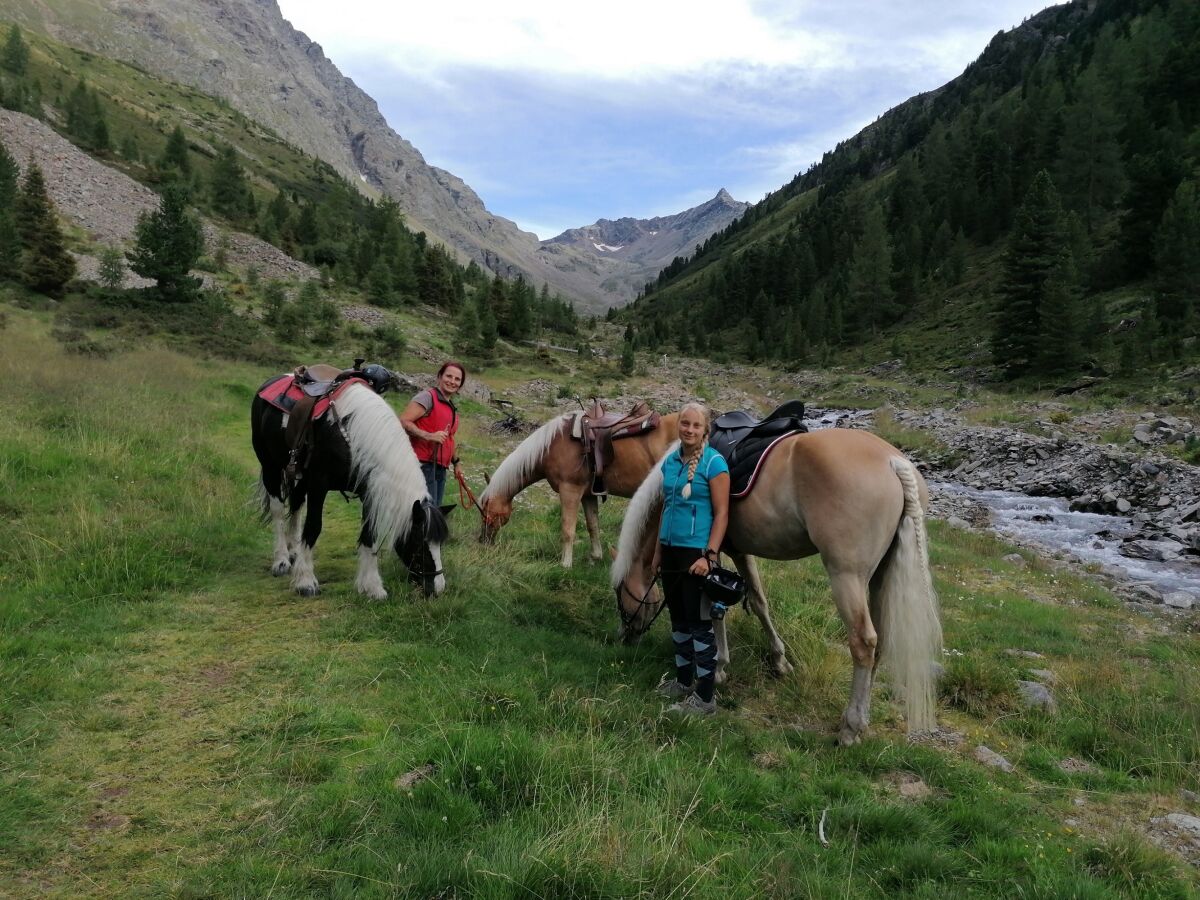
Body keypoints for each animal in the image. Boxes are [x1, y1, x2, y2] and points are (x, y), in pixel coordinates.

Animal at [250, 379, 448, 600]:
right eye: (419, 542)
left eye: (440, 544)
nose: (438, 587)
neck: (352, 435)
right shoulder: (319, 483)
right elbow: (313, 527)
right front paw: (306, 581)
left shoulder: (369, 491)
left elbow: (369, 535)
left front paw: (372, 587)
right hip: (270, 466)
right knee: (278, 510)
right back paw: (282, 560)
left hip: (299, 476)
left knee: (296, 506)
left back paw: (294, 552)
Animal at [480, 412, 686, 566]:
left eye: (486, 511)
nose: (483, 541)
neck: (554, 444)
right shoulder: (587, 494)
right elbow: (592, 525)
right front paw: (595, 557)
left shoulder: (570, 490)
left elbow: (567, 529)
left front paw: (565, 564)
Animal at [614, 429, 940, 748]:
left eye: (620, 596)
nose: (626, 637)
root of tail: (894, 462)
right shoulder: (739, 553)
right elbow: (759, 603)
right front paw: (779, 661)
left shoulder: (714, 556)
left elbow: (717, 613)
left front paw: (718, 667)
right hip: (878, 578)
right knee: (880, 643)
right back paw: (862, 722)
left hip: (847, 577)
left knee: (863, 643)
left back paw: (850, 727)